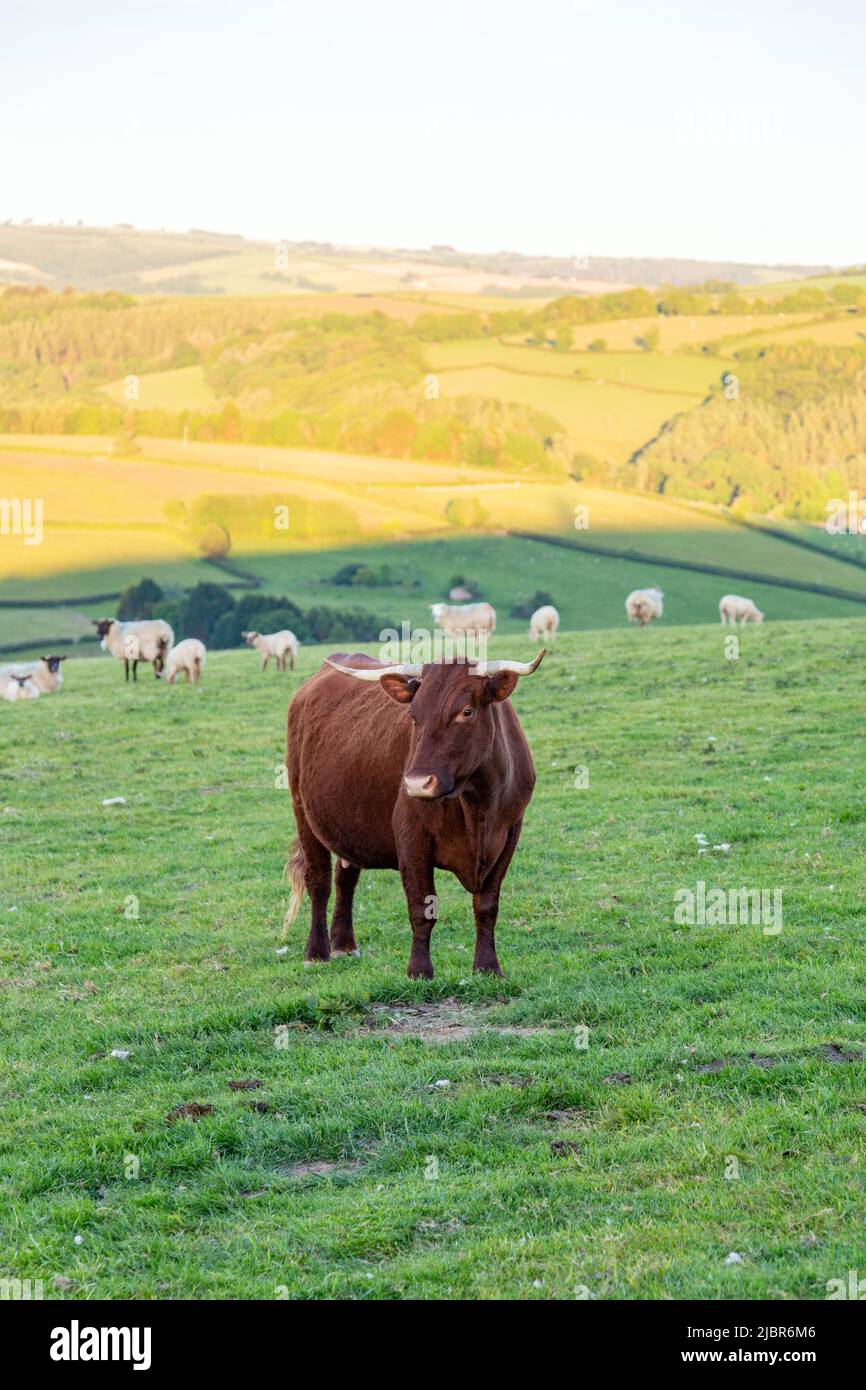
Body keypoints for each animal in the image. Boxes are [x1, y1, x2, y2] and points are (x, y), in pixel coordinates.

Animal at [284, 650, 544, 978]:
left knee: (346, 878)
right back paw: (317, 952)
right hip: (303, 811)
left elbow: (486, 906)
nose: (418, 783)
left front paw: (487, 967)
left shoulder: (509, 834)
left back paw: (344, 944)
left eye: (467, 712)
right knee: (319, 881)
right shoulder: (411, 837)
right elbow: (422, 908)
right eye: (413, 716)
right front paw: (419, 971)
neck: (478, 805)